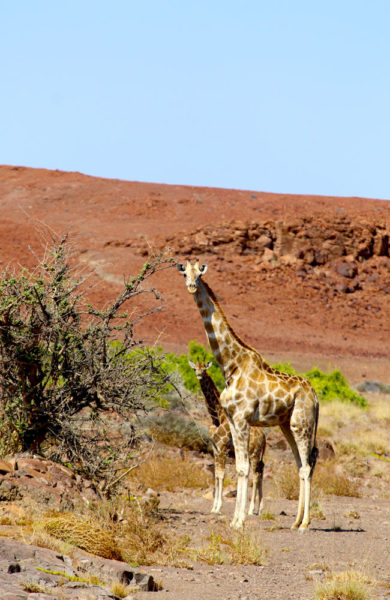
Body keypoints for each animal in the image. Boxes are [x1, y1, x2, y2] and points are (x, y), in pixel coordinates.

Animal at [190, 356, 268, 516]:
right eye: (195, 369)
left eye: (204, 369)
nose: (199, 375)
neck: (217, 417)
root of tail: (264, 436)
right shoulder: (215, 448)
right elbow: (216, 474)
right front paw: (213, 507)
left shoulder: (222, 447)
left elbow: (221, 475)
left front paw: (218, 507)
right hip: (255, 454)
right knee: (260, 471)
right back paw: (260, 508)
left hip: (254, 453)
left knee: (256, 475)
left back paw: (251, 510)